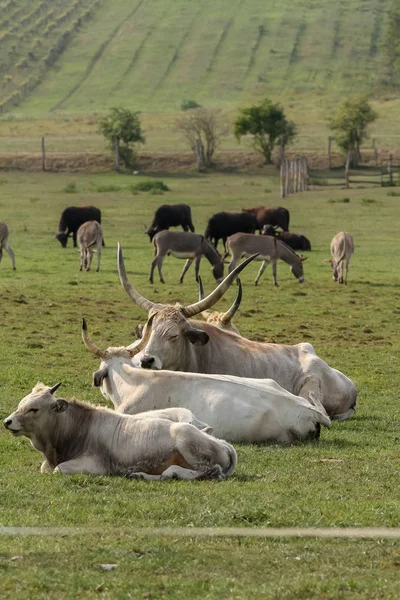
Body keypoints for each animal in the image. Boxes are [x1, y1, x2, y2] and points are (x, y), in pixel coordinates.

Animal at [2, 382, 234, 480]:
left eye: (34, 409)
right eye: (22, 404)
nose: (7, 421)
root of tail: (221, 442)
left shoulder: (96, 465)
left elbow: (59, 470)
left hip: (188, 442)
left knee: (209, 472)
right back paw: (140, 475)